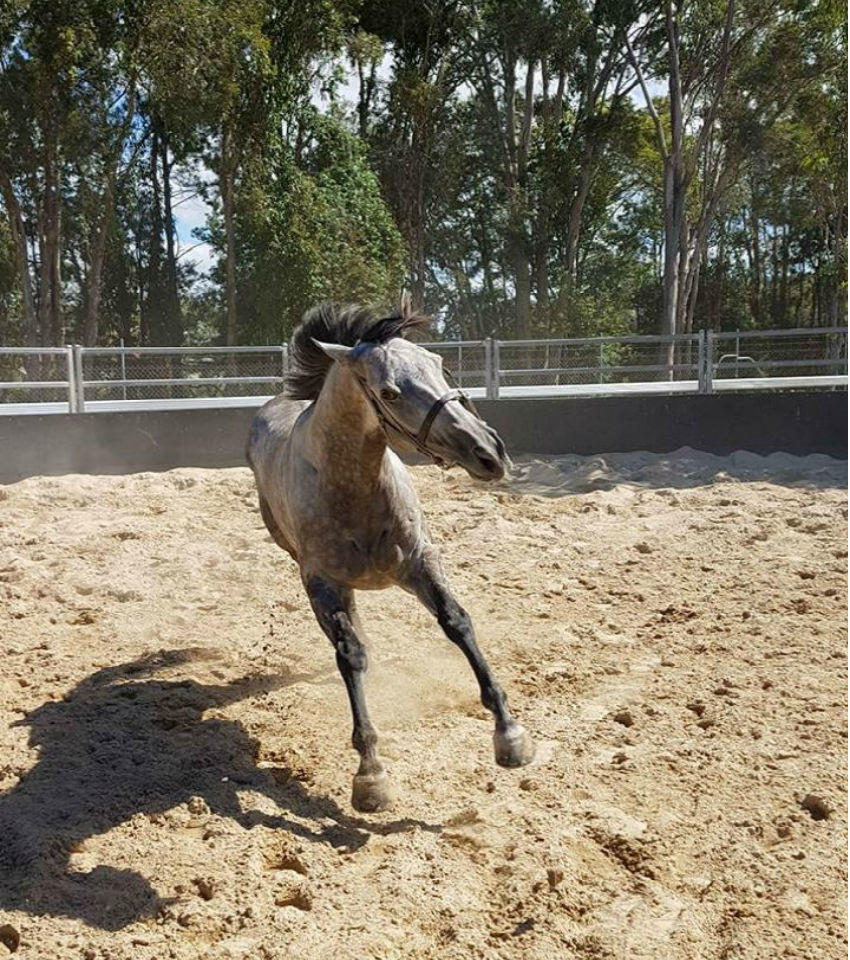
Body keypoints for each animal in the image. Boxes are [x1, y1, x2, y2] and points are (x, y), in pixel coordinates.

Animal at [246, 299, 534, 812]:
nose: (489, 453)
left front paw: (510, 734)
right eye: (390, 392)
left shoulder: (420, 562)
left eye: (440, 365)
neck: (355, 489)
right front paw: (371, 775)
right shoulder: (322, 583)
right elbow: (350, 655)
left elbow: (457, 623)